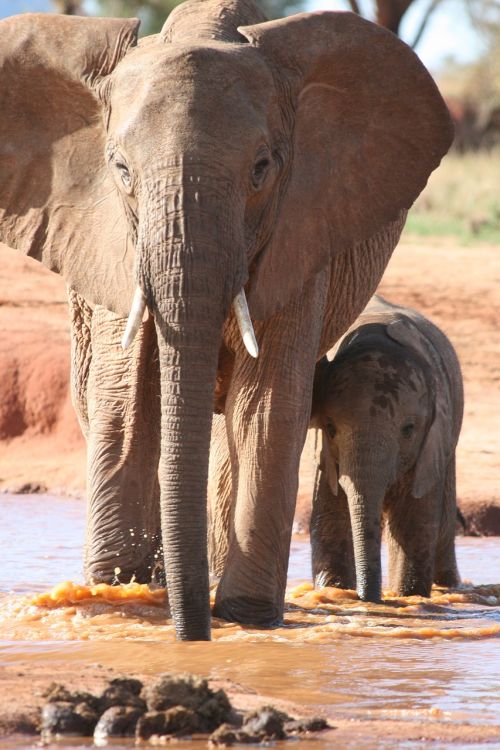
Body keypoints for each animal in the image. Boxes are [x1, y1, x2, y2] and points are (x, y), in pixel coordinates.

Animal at [310, 296, 462, 604]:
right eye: (330, 428)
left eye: (408, 430)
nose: (369, 599)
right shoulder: (326, 455)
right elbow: (331, 520)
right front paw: (336, 592)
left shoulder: (431, 441)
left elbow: (412, 525)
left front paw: (408, 598)